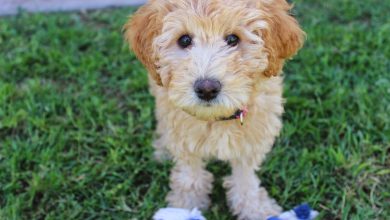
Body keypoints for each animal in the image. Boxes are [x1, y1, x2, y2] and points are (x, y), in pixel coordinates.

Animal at [125, 0, 304, 219]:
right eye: (184, 40)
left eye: (233, 39)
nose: (207, 89)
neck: (217, 118)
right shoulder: (184, 139)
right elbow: (190, 176)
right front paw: (186, 206)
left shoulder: (251, 141)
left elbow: (245, 179)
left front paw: (255, 208)